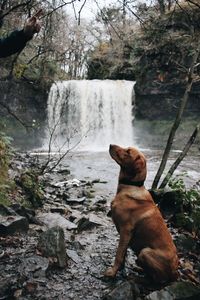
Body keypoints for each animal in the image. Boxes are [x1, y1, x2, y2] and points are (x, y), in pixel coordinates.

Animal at [105, 144, 179, 282]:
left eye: (128, 152)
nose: (110, 145)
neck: (131, 186)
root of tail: (175, 272)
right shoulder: (124, 234)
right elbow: (123, 254)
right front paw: (120, 269)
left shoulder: (126, 230)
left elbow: (118, 254)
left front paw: (112, 273)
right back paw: (139, 269)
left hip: (145, 252)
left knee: (157, 279)